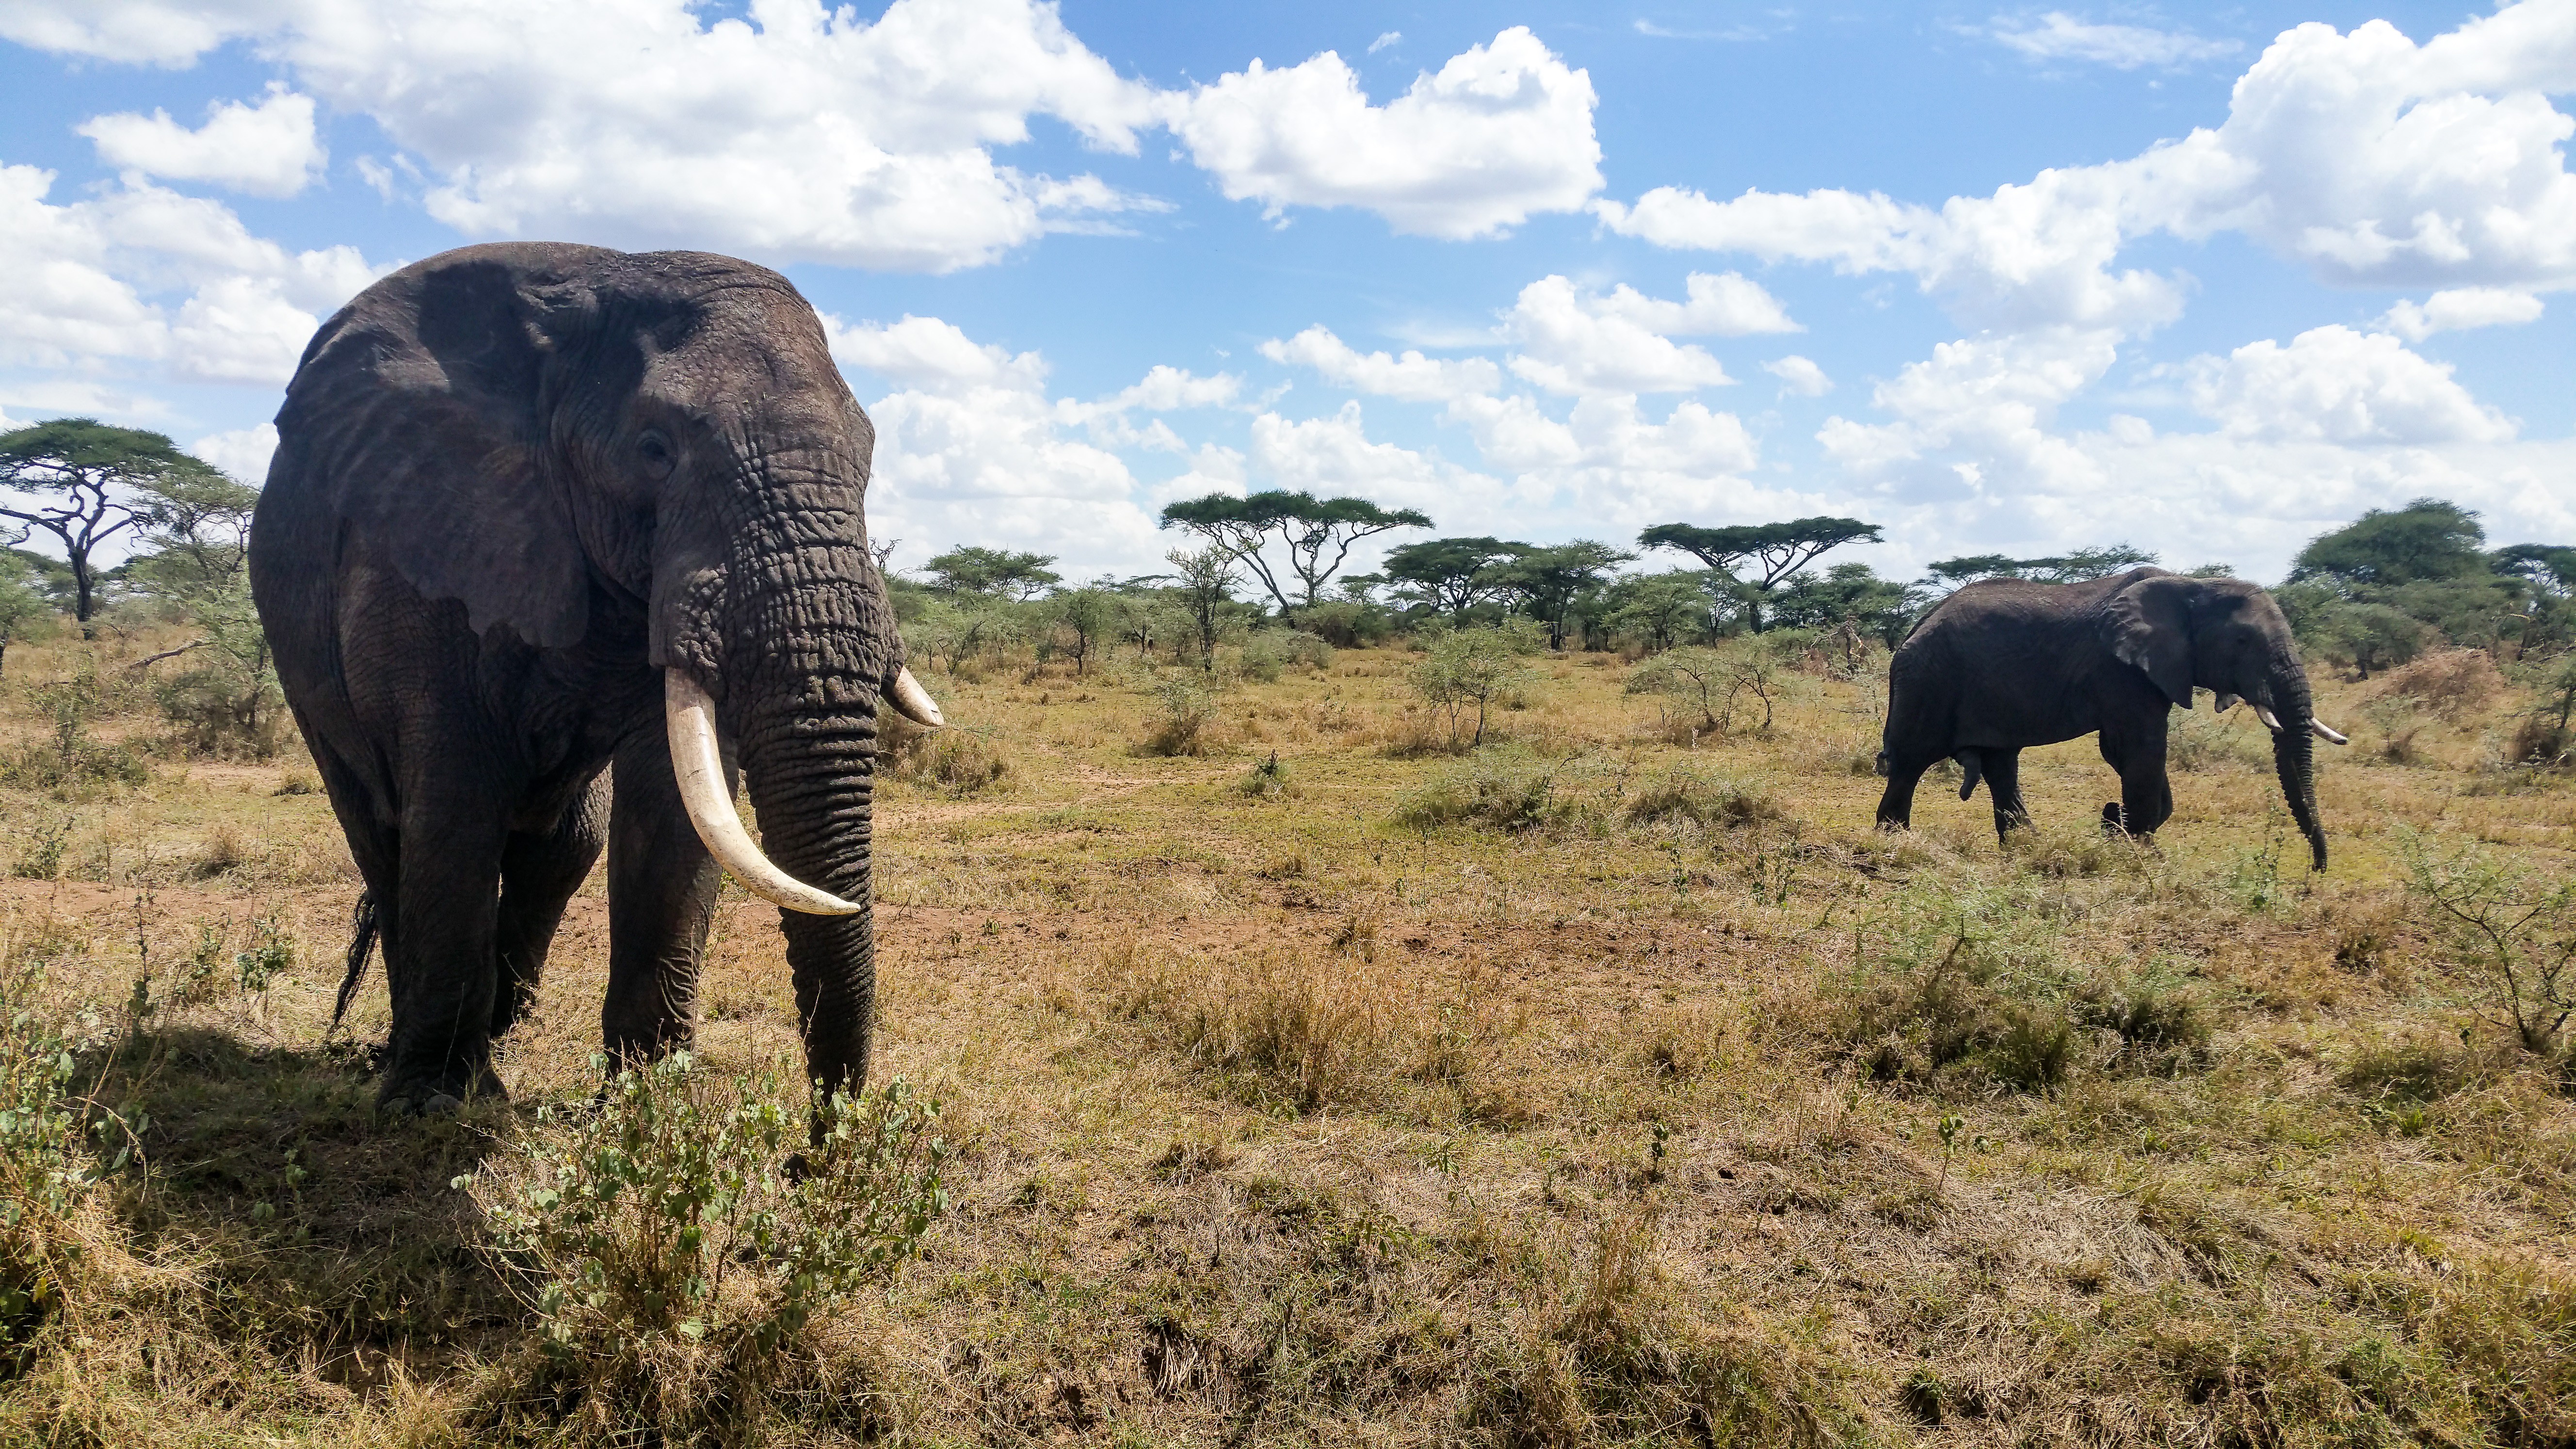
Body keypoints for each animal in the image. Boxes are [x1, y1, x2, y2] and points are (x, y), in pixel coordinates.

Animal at [251, 245, 948, 1103]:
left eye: (870, 456)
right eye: (655, 449)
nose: (826, 1126)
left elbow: (674, 808)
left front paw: (651, 1095)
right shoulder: (419, 540)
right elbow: (452, 796)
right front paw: (435, 1102)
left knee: (561, 843)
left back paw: (503, 1024)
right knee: (385, 834)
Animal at [1875, 564, 2359, 861]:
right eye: (2243, 642)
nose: (2318, 868)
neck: (2192, 584)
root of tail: (1917, 625)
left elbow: (2131, 755)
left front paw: (2120, 829)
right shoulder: (2122, 670)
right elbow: (2139, 748)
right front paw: (2133, 844)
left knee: (2001, 766)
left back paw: (2026, 846)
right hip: (1929, 681)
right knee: (1912, 761)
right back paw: (1895, 841)